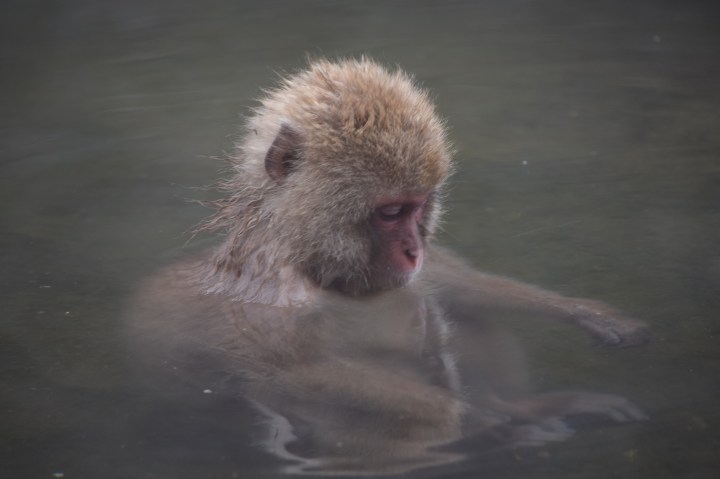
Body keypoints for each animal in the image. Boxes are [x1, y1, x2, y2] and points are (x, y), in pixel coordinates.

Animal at [127, 58, 649, 475]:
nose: (414, 250)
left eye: (420, 207)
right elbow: (296, 374)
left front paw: (585, 312)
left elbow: (449, 282)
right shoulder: (277, 307)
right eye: (392, 212)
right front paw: (471, 417)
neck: (312, 263)